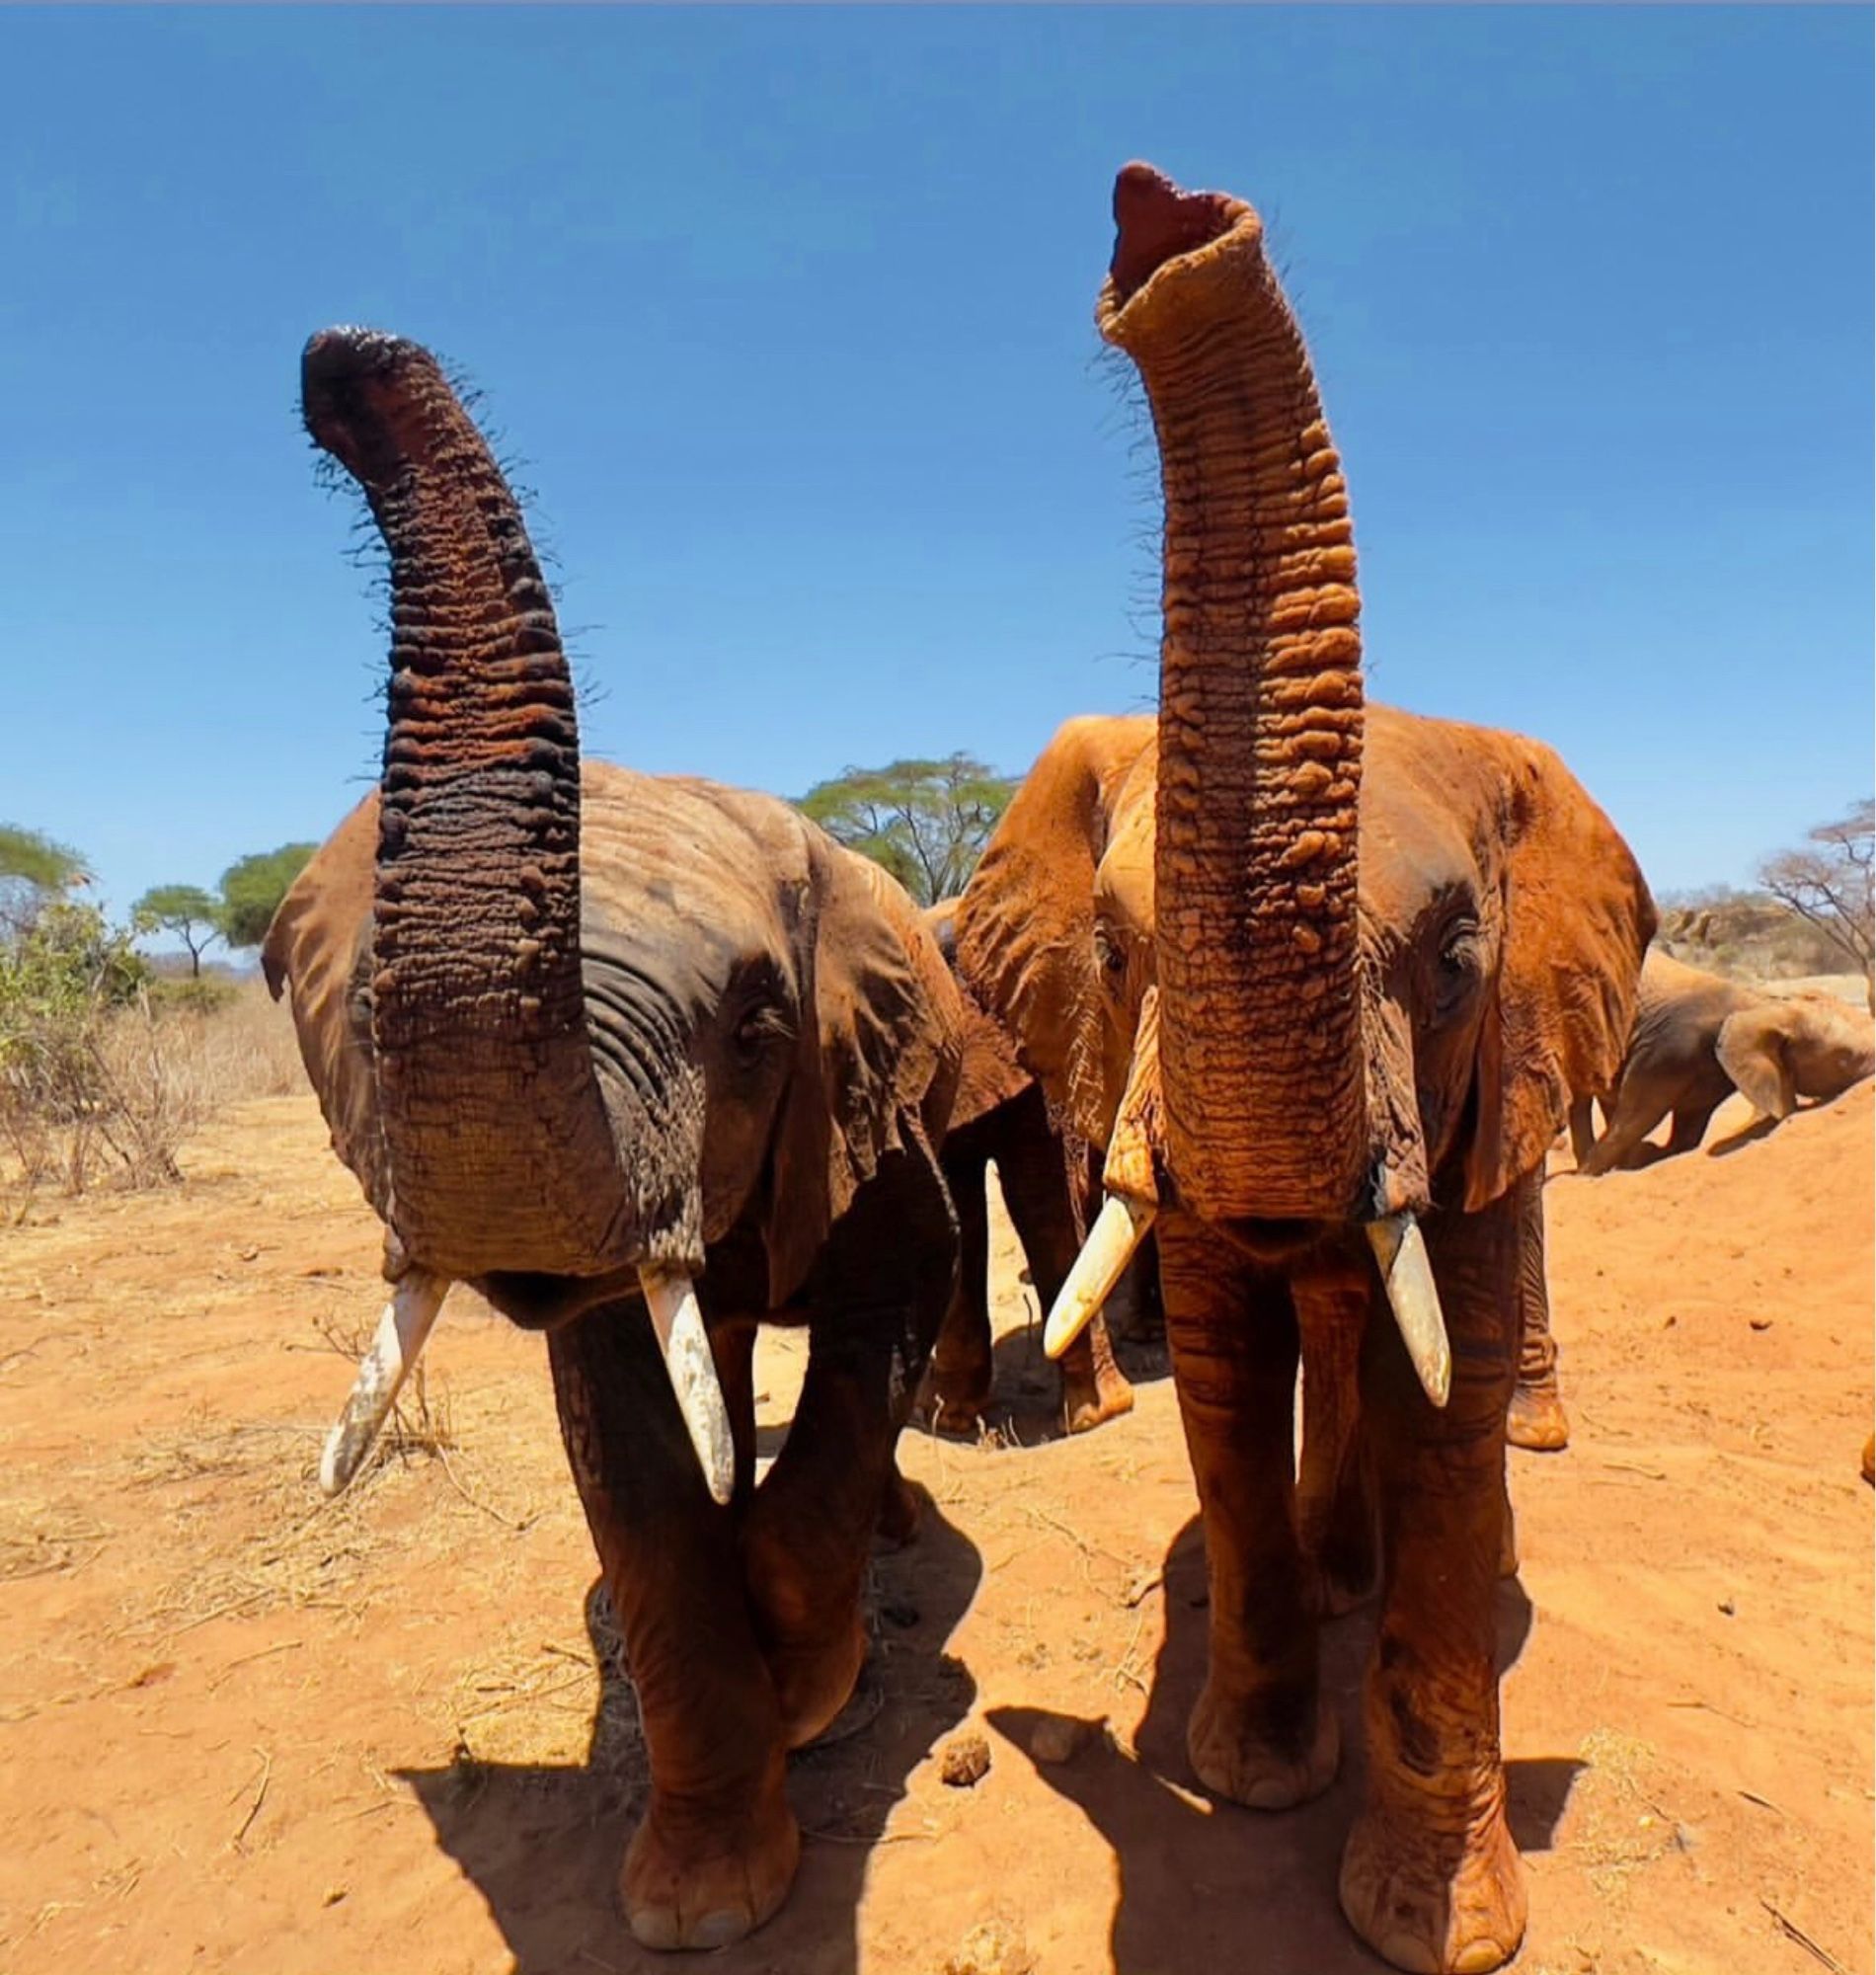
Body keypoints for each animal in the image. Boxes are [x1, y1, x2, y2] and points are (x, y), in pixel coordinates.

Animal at [265, 332, 968, 1951]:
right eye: (361, 1027)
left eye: (760, 1026)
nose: (338, 370)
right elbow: (630, 1454)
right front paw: (704, 1898)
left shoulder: (866, 1107)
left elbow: (891, 1309)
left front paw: (807, 1671)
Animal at [964, 174, 1651, 1975]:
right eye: (1115, 953)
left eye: (1460, 959)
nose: (1164, 217)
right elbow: (1222, 1364)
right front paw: (1250, 1780)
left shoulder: (1483, 1101)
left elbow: (1450, 1409)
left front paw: (1434, 1927)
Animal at [1580, 952, 1872, 1177]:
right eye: (1846, 1058)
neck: (1758, 1002)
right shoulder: (1666, 1053)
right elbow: (1634, 1120)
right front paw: (1590, 1173)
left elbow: (1687, 1132)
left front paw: (1641, 1157)